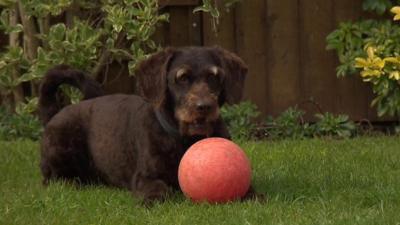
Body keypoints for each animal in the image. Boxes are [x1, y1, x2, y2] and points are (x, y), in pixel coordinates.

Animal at [39, 45, 248, 202]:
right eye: (182, 78)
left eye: (214, 76)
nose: (204, 106)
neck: (185, 140)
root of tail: (54, 113)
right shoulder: (144, 177)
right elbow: (159, 189)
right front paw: (154, 198)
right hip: (61, 148)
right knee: (51, 179)